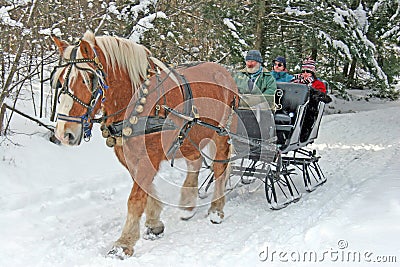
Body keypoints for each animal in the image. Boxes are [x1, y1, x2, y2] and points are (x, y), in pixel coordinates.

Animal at [50, 31, 238, 260]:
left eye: (89, 79)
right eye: (60, 80)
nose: (64, 133)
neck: (138, 101)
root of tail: (225, 72)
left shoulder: (151, 156)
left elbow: (135, 198)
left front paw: (123, 243)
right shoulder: (128, 156)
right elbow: (145, 189)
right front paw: (154, 223)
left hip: (221, 134)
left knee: (220, 168)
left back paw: (216, 210)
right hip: (189, 135)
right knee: (195, 161)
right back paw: (187, 205)